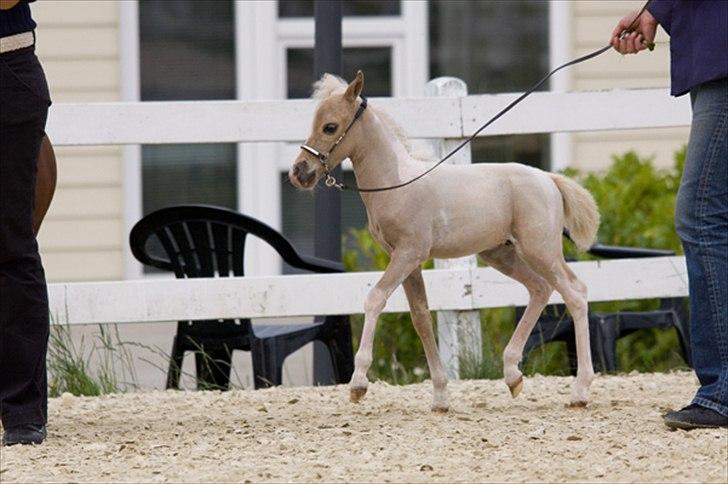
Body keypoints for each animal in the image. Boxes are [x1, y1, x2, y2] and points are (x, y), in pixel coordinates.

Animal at [288, 72, 600, 412]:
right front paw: (440, 396)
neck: (396, 183)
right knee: (540, 289)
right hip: (501, 255)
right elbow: (421, 317)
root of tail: (548, 180)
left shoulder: (408, 253)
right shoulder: (407, 261)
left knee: (575, 293)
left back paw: (580, 391)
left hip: (540, 251)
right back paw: (512, 376)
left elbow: (375, 299)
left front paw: (358, 385)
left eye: (330, 127)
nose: (299, 172)